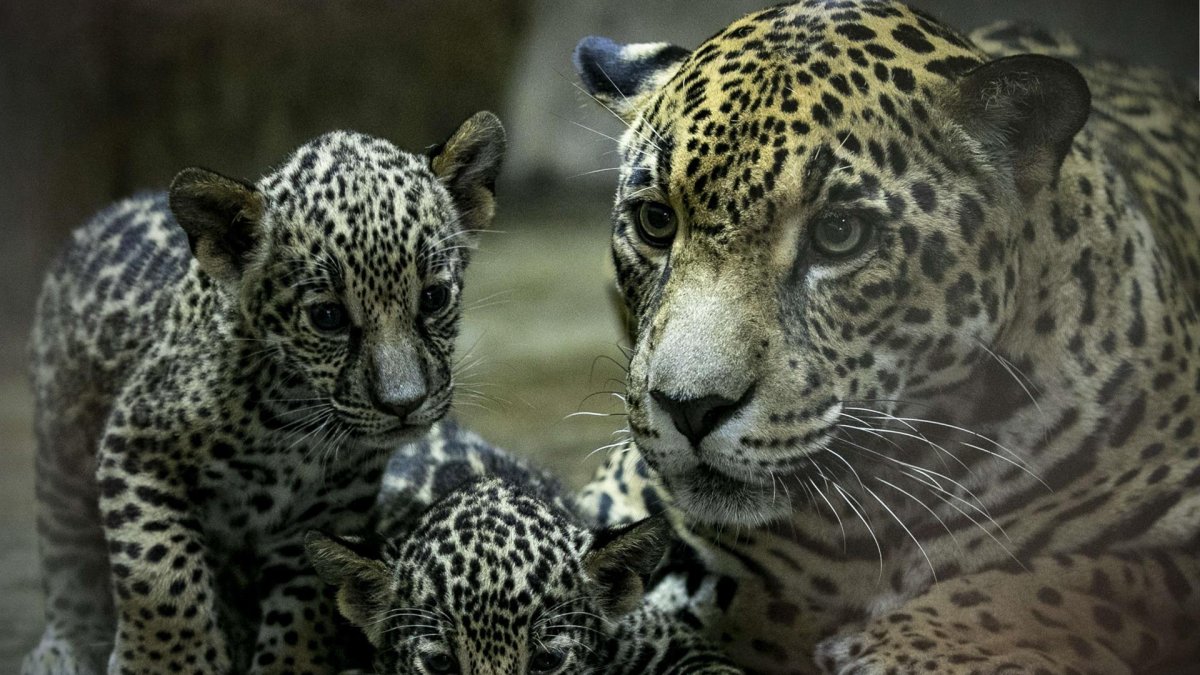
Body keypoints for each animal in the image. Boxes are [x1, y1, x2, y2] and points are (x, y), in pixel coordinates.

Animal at [23, 111, 505, 675]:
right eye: (327, 317)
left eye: (433, 298)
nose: (404, 404)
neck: (290, 421)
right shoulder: (135, 445)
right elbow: (160, 575)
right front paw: (173, 664)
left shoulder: (326, 508)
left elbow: (305, 607)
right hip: (59, 453)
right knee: (66, 557)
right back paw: (64, 646)